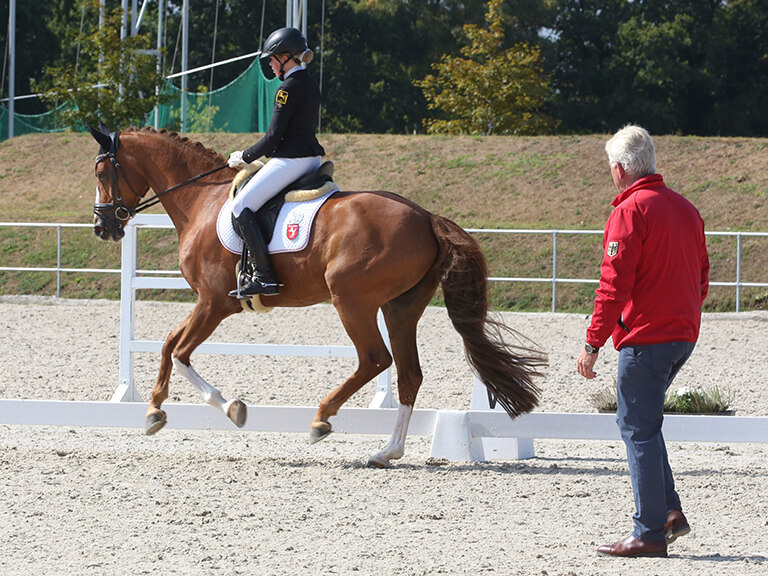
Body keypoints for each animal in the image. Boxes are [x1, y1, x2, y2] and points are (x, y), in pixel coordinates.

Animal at [88, 124, 546, 467]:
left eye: (102, 174)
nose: (102, 228)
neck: (203, 199)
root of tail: (427, 218)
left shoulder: (214, 302)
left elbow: (180, 352)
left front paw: (230, 407)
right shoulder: (208, 303)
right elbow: (168, 345)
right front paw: (153, 411)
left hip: (352, 301)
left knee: (375, 359)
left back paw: (321, 420)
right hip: (400, 308)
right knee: (408, 373)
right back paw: (387, 451)